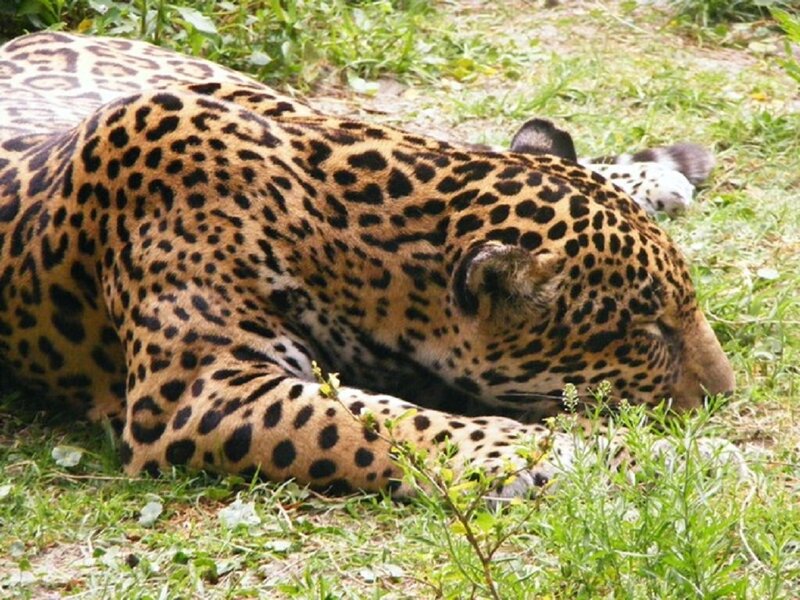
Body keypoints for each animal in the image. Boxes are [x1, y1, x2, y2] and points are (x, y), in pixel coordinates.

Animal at [0, 32, 735, 498]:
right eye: (646, 331)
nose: (725, 396)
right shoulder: (196, 394)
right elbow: (383, 422)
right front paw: (587, 452)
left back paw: (656, 176)